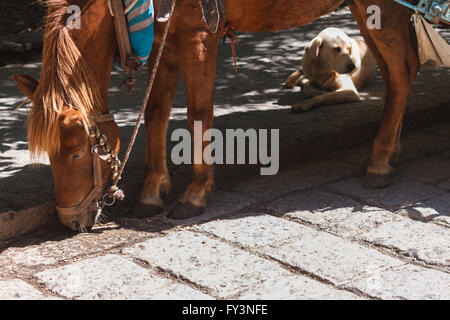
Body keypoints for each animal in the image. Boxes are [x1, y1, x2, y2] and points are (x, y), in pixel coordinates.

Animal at [14, 0, 420, 230]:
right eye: (48, 156)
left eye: (77, 153)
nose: (70, 220)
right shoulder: (163, 36)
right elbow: (157, 111)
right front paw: (151, 192)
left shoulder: (198, 33)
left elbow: (197, 112)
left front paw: (194, 193)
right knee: (398, 70)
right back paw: (394, 147)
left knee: (400, 75)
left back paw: (380, 161)